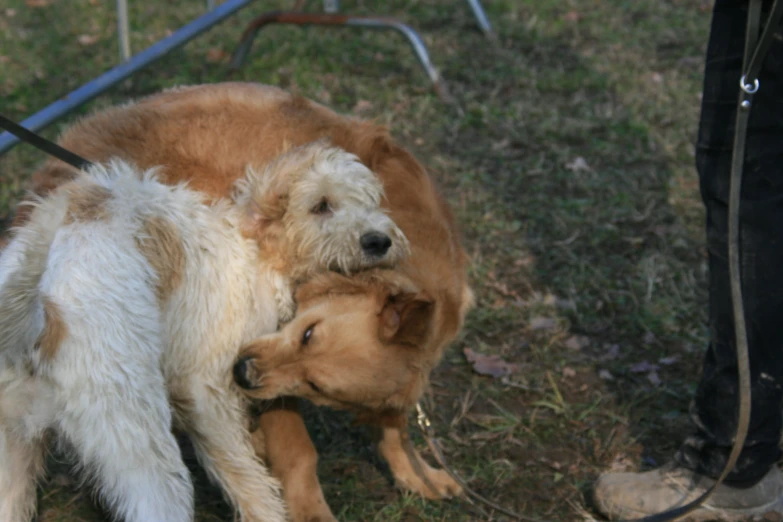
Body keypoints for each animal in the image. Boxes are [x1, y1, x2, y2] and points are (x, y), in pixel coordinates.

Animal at [12, 82, 474, 520]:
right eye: (322, 206)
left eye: (319, 387)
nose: (378, 240)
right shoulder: (229, 374)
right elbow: (294, 454)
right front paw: (308, 510)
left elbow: (396, 424)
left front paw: (417, 471)